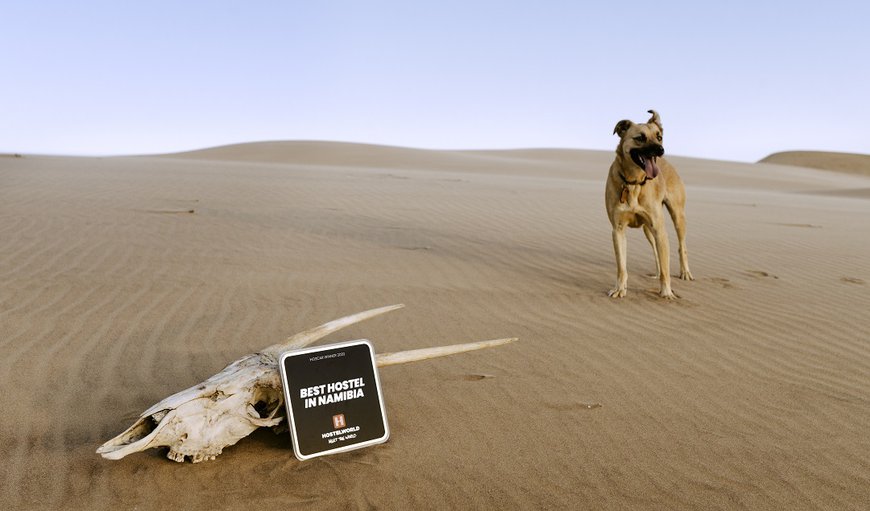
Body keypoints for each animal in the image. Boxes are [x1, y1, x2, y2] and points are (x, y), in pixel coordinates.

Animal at [608, 110, 696, 298]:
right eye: (640, 138)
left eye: (659, 137)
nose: (660, 150)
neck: (634, 183)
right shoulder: (618, 230)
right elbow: (621, 267)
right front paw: (620, 289)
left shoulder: (660, 230)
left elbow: (666, 268)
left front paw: (667, 292)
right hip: (647, 229)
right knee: (656, 252)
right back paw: (656, 273)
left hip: (677, 217)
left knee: (681, 247)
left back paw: (685, 272)